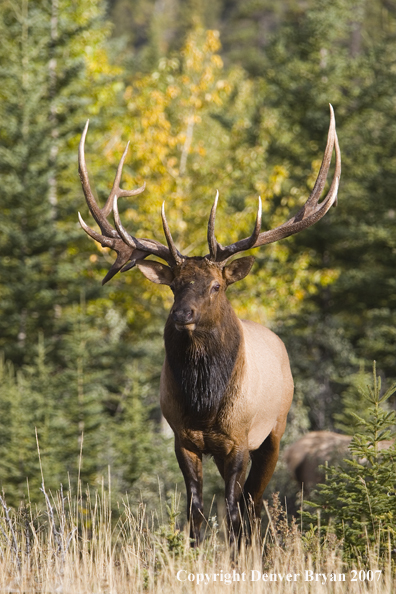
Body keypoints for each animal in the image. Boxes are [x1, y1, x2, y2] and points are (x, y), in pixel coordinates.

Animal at [77, 105, 340, 540]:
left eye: (216, 285)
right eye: (175, 286)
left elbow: (233, 511)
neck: (204, 402)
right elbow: (196, 514)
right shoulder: (183, 438)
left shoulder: (239, 440)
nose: (182, 315)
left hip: (277, 431)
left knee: (252, 504)